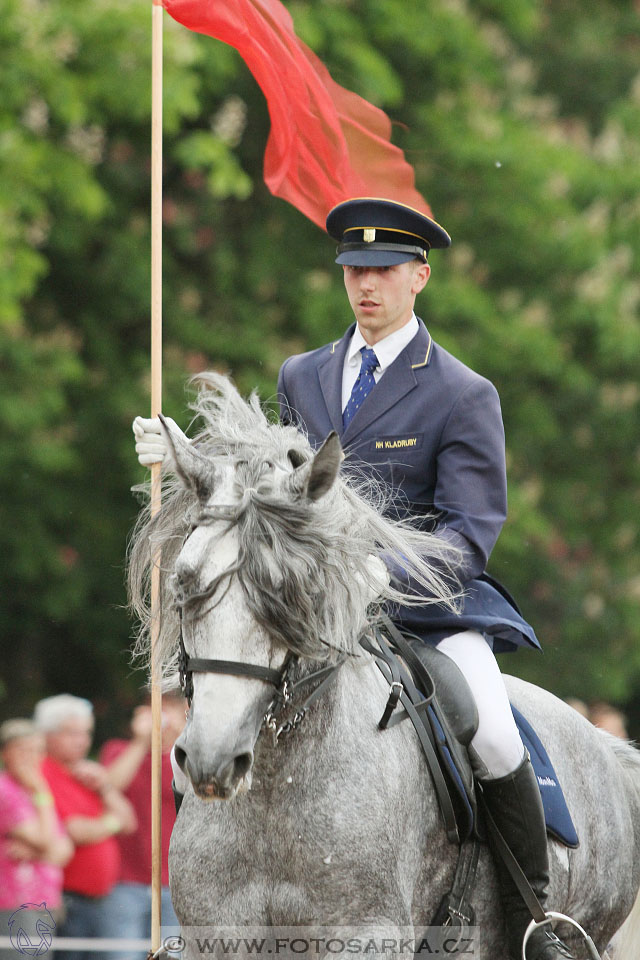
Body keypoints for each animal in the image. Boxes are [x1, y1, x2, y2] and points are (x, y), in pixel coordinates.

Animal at [127, 376, 640, 960]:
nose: (211, 760)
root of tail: (606, 748)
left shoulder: (365, 935)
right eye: (184, 583)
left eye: (296, 595)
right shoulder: (220, 937)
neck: (276, 796)